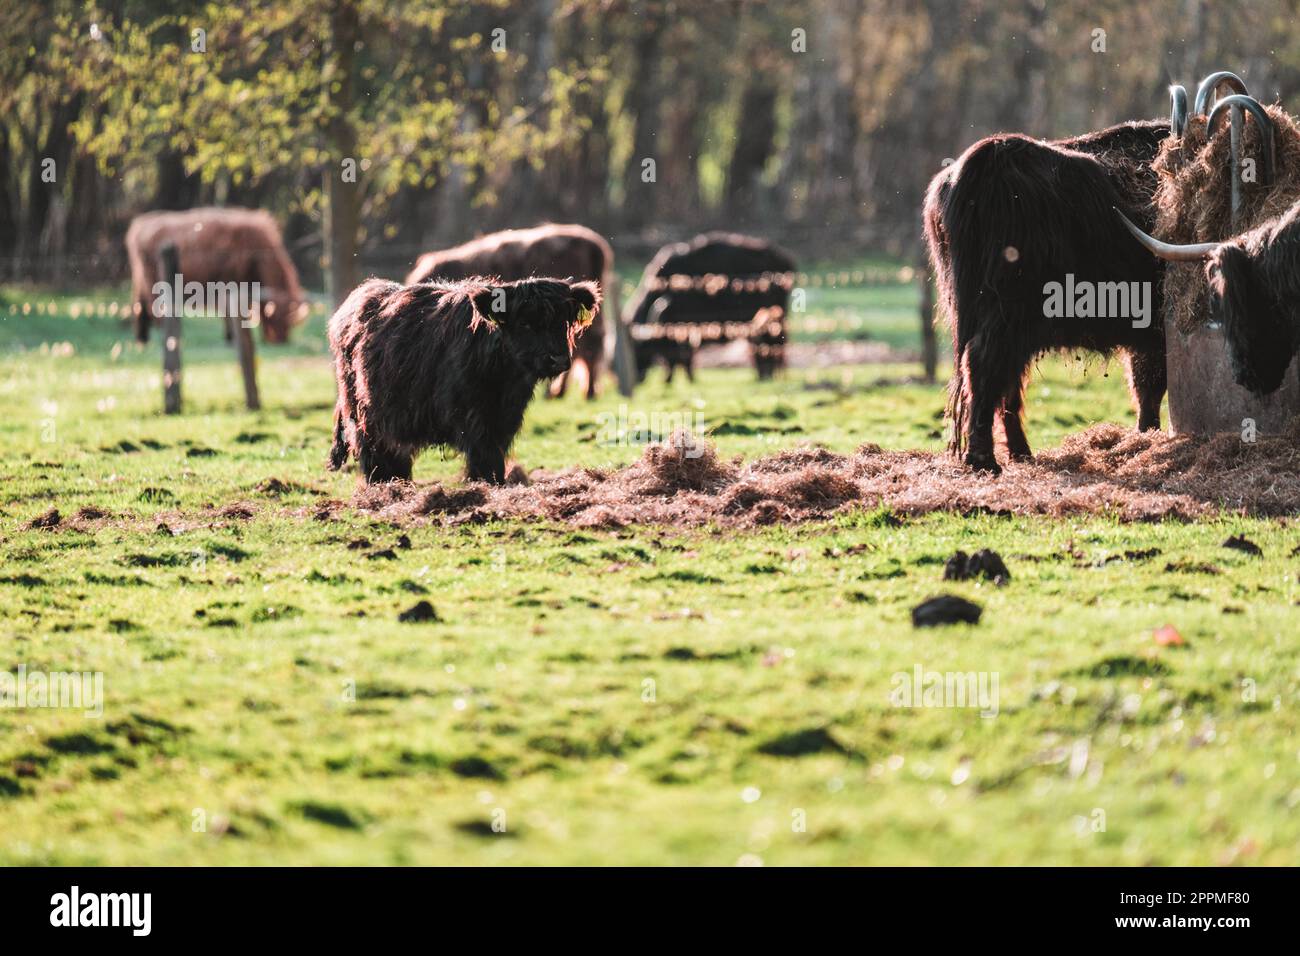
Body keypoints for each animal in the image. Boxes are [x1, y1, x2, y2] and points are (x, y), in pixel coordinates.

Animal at [127, 208, 309, 345]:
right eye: (281, 318)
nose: (281, 341)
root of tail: (141, 225)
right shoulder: (230, 284)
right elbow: (231, 314)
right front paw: (231, 338)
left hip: (140, 280)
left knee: (139, 307)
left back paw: (142, 340)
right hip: (153, 282)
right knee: (153, 307)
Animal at [330, 277, 603, 486]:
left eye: (562, 321)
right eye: (525, 323)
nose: (558, 359)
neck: (506, 378)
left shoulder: (505, 418)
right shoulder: (473, 417)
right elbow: (486, 457)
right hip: (362, 411)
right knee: (373, 451)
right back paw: (384, 487)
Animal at [618, 231, 790, 382]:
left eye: (639, 348)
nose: (637, 377)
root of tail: (784, 259)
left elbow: (680, 355)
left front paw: (680, 379)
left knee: (774, 346)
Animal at [925, 121, 1170, 473]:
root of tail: (988, 156)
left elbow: (1144, 386)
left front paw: (1145, 438)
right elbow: (1151, 385)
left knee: (1004, 381)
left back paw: (1020, 453)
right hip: (1010, 312)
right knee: (986, 366)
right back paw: (984, 461)